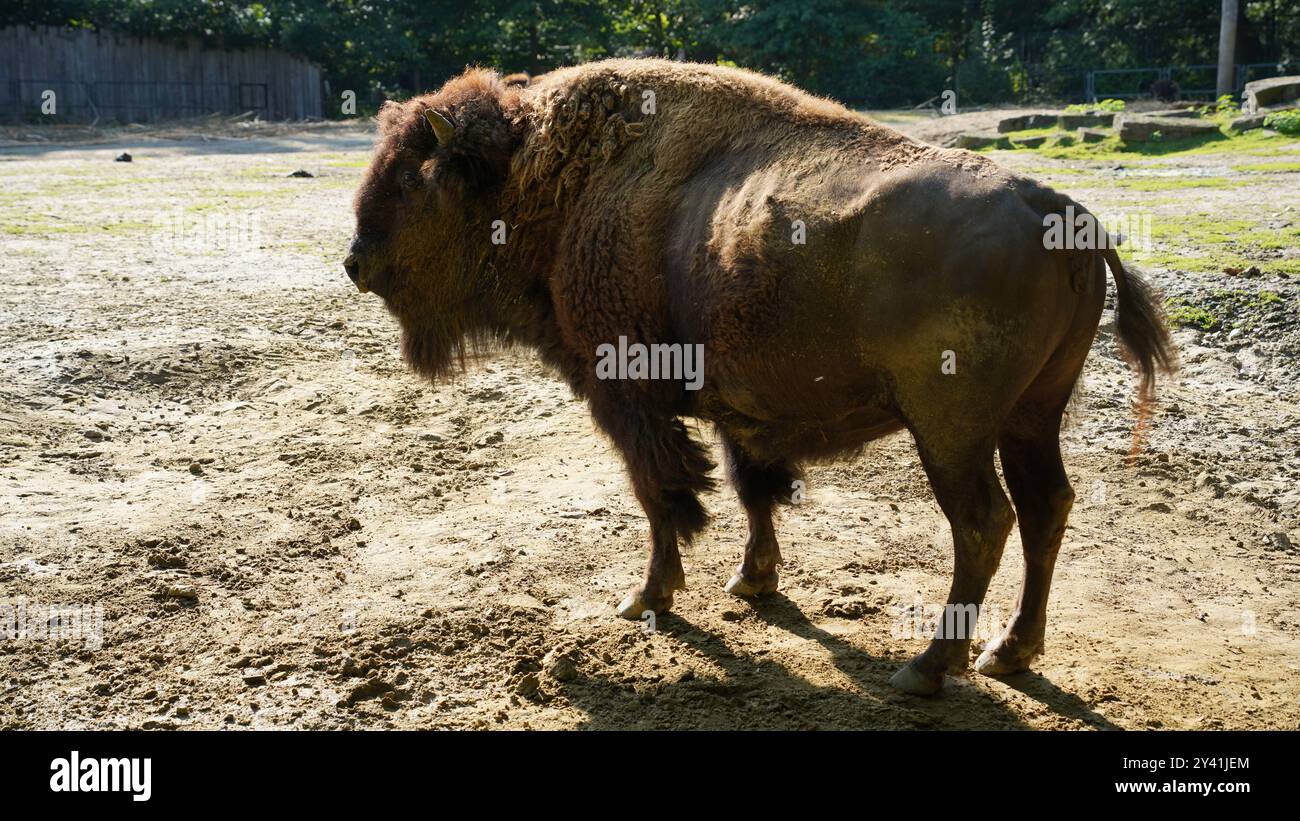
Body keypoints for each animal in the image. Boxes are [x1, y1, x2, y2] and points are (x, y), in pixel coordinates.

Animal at [345, 61, 1180, 696]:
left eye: (411, 179)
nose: (355, 262)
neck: (542, 175)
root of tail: (1060, 207)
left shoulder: (628, 397)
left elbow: (661, 496)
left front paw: (645, 597)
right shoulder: (734, 408)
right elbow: (753, 490)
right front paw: (753, 583)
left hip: (953, 429)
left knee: (983, 522)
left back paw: (926, 667)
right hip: (1034, 415)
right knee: (1045, 508)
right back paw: (1009, 651)